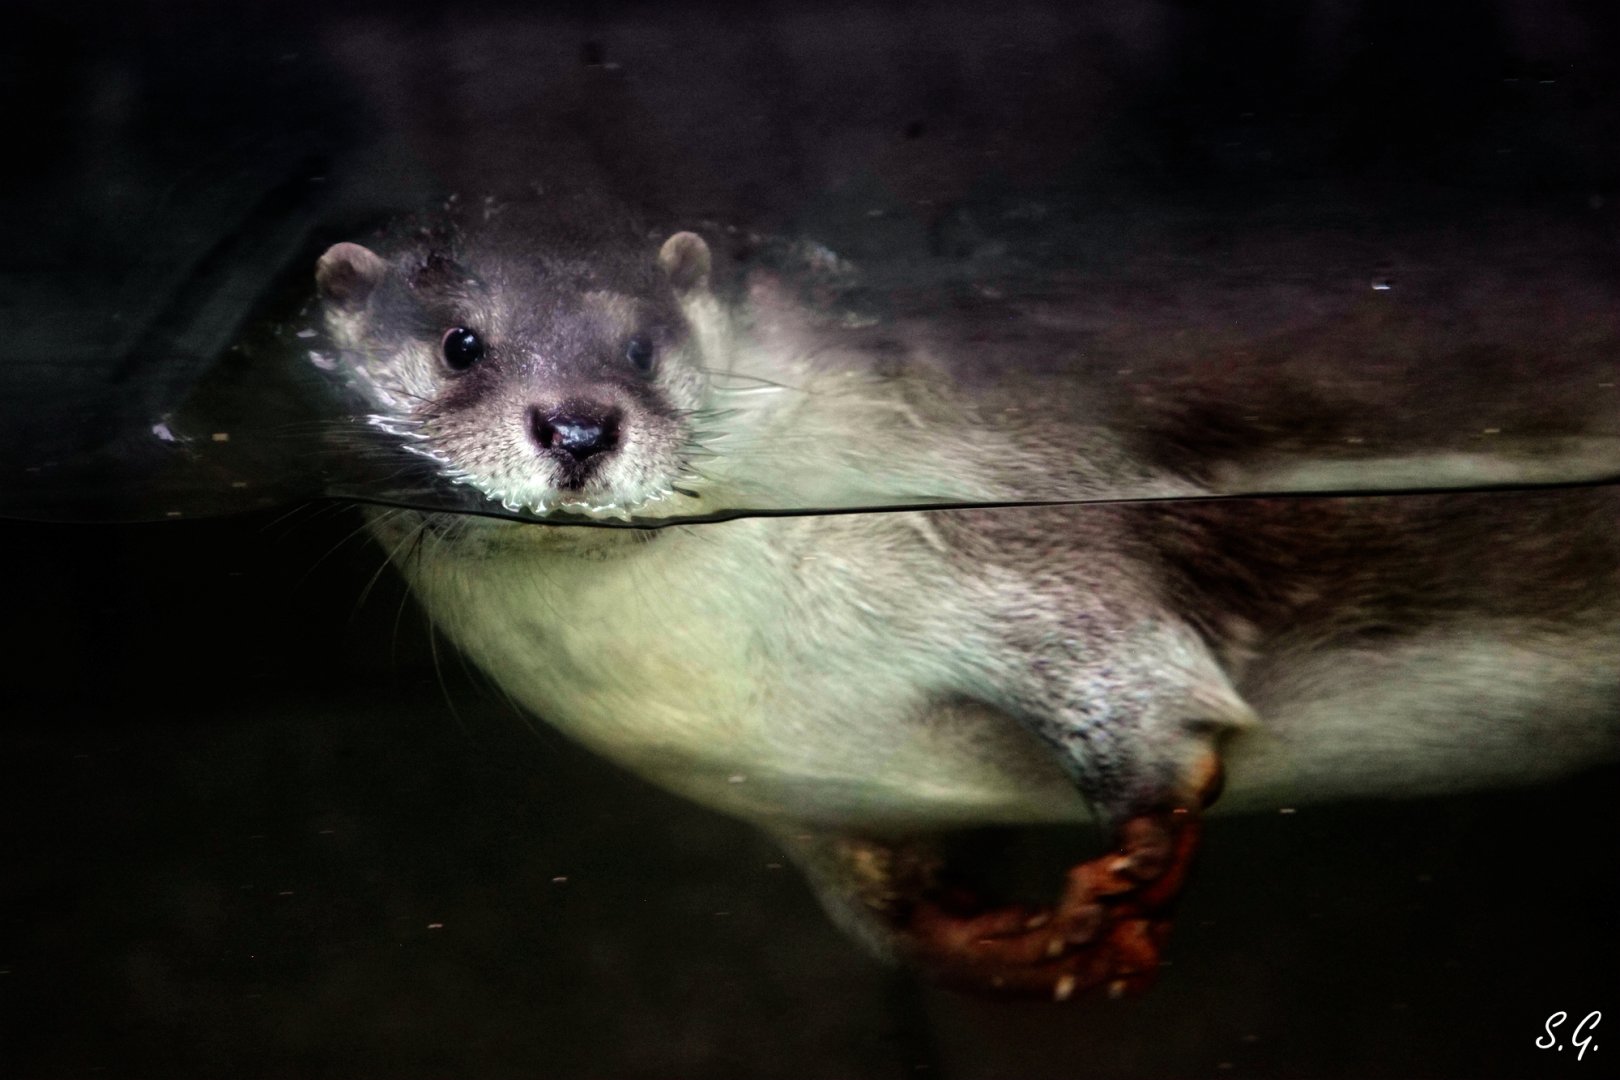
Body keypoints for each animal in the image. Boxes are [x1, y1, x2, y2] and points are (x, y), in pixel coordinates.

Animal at [313, 205, 1618, 1000]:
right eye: (462, 343)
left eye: (643, 345)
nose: (581, 425)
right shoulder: (801, 791)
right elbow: (888, 910)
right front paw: (1007, 948)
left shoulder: (1020, 535)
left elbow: (1155, 703)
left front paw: (1124, 884)